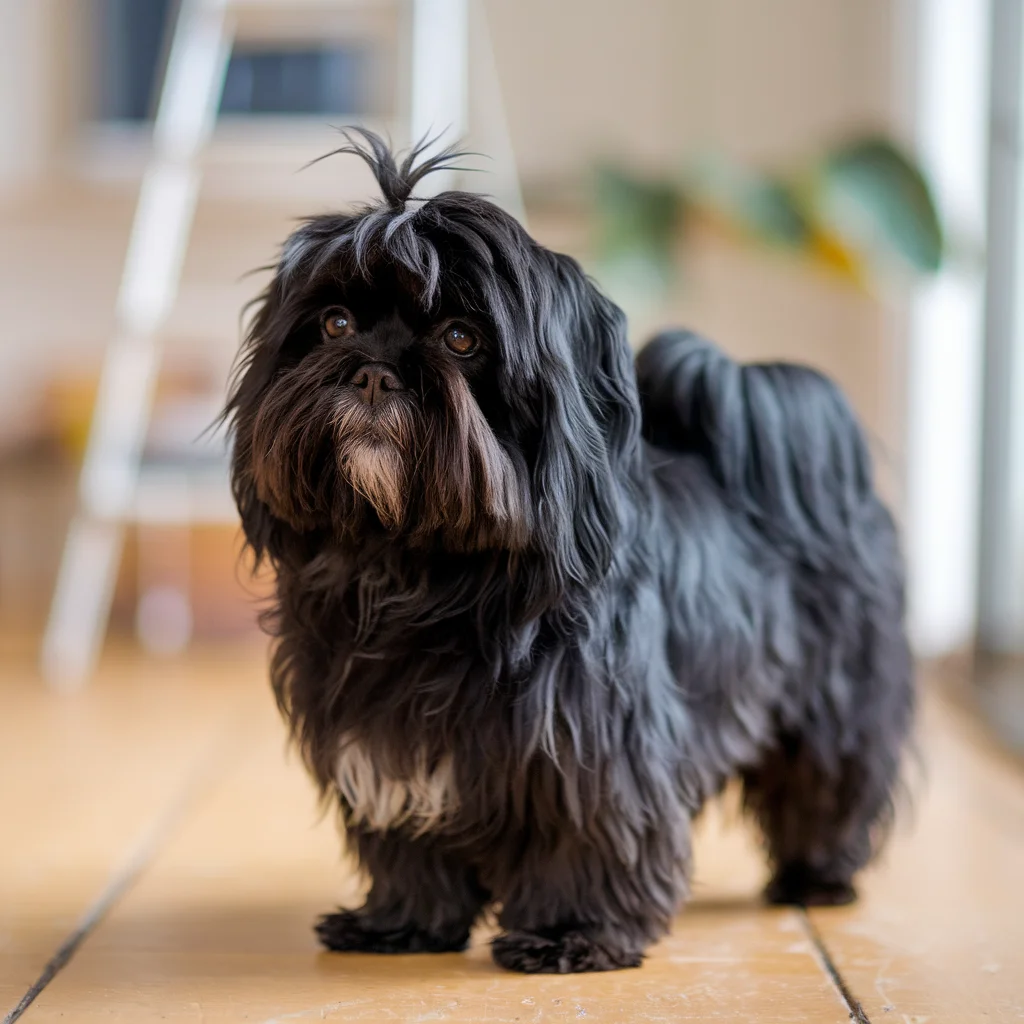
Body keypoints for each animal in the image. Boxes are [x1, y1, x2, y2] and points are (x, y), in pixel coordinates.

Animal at [228, 132, 917, 970]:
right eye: (332, 323)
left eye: (462, 337)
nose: (372, 370)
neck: (421, 570)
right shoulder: (383, 744)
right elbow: (409, 852)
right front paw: (402, 922)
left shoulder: (592, 748)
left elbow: (587, 840)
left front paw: (570, 931)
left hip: (832, 702)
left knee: (826, 786)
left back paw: (815, 878)